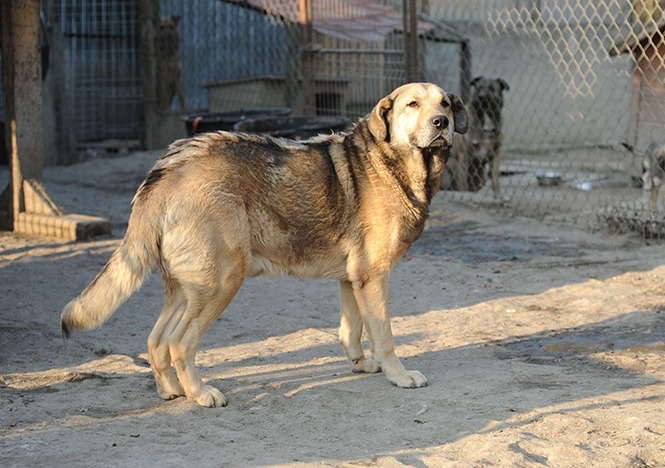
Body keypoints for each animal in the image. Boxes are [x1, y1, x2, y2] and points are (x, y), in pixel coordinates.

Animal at [61, 83, 468, 407]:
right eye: (412, 104)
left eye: (445, 104)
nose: (441, 123)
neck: (394, 162)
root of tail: (168, 168)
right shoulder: (374, 278)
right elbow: (384, 335)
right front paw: (397, 374)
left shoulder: (352, 279)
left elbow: (351, 330)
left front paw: (361, 364)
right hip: (222, 282)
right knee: (180, 343)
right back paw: (200, 393)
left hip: (187, 289)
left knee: (156, 341)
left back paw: (172, 391)